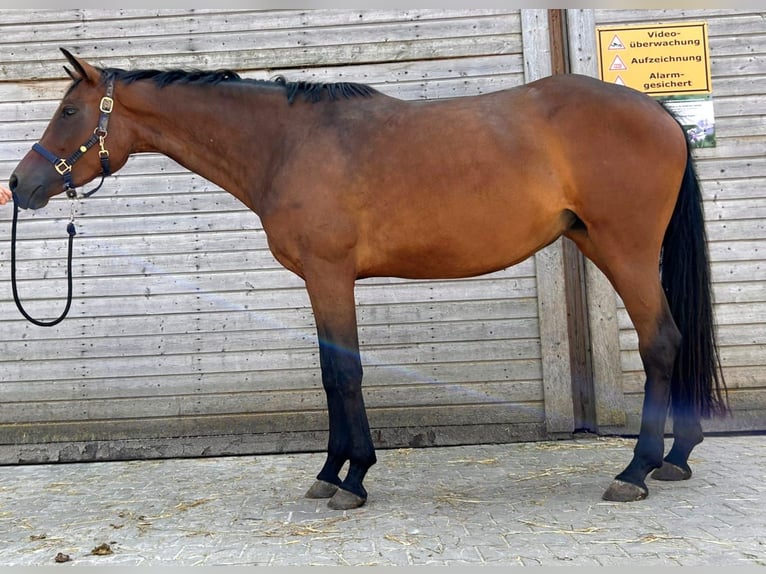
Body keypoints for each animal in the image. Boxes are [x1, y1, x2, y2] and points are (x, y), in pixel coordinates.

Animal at [7, 47, 728, 510]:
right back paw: (677, 457)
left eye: (68, 112)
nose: (20, 184)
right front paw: (336, 472)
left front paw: (350, 478)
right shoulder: (323, 280)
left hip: (624, 249)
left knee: (661, 342)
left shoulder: (329, 275)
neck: (286, 143)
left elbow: (342, 372)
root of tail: (662, 115)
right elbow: (334, 371)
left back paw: (636, 469)